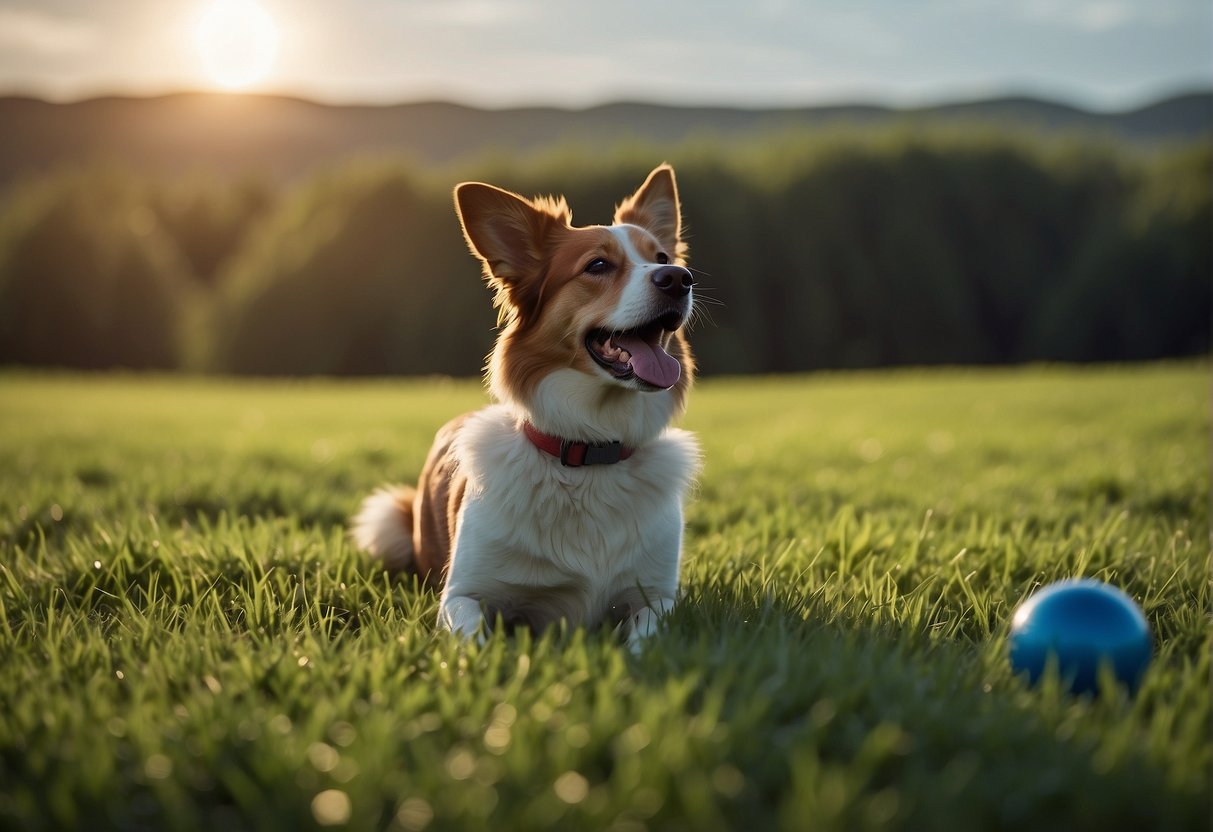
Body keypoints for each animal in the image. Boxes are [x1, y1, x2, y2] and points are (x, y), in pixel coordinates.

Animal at [349, 164, 703, 650]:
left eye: (663, 256)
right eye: (597, 265)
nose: (678, 278)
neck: (589, 449)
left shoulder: (656, 598)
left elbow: (645, 642)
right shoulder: (463, 595)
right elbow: (474, 642)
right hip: (386, 520)